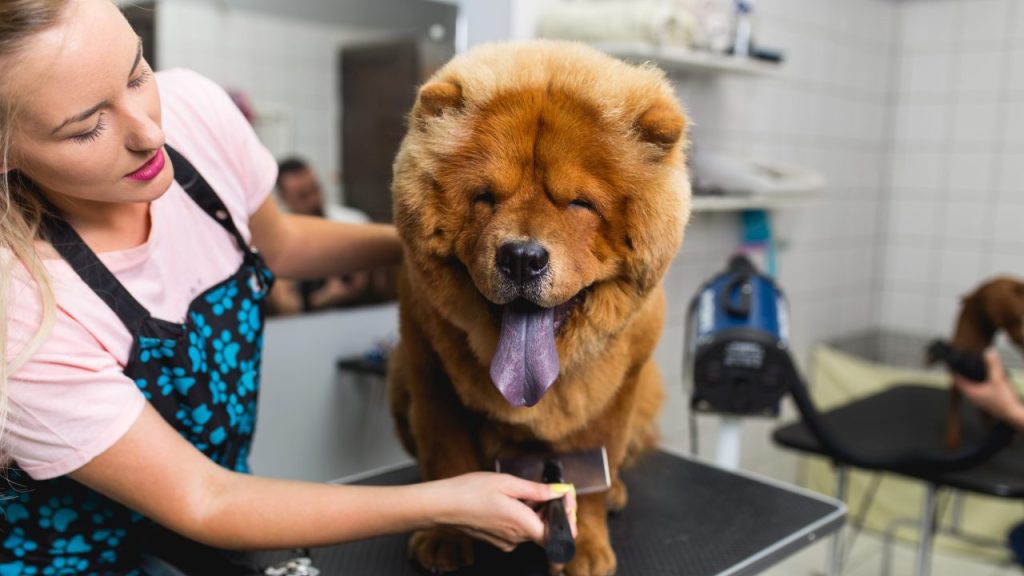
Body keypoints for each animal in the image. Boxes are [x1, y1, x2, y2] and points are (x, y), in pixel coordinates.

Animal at [387, 41, 692, 573]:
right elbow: (447, 461)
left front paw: (585, 550)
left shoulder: (614, 396)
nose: (521, 257)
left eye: (580, 204)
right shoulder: (430, 375)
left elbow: (590, 481)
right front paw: (447, 536)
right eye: (484, 197)